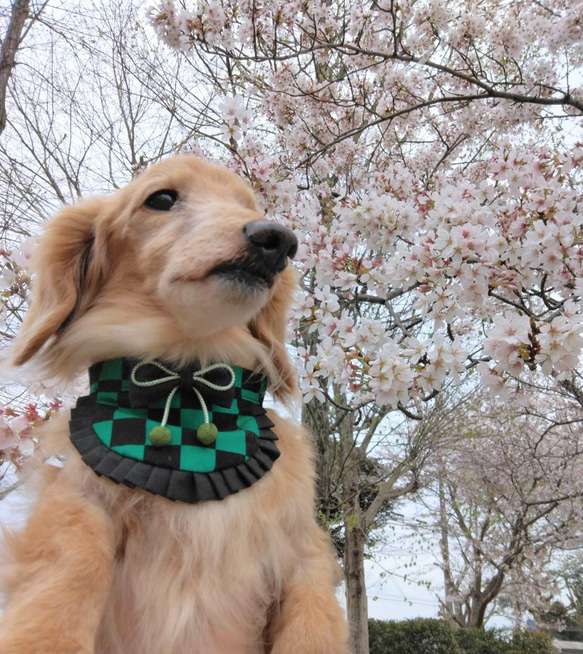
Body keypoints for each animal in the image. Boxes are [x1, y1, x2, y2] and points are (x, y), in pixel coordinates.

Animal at [0, 156, 346, 652]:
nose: (278, 240)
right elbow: (75, 558)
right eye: (161, 198)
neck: (185, 382)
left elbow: (311, 626)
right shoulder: (80, 494)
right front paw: (48, 633)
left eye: (250, 207)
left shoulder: (304, 547)